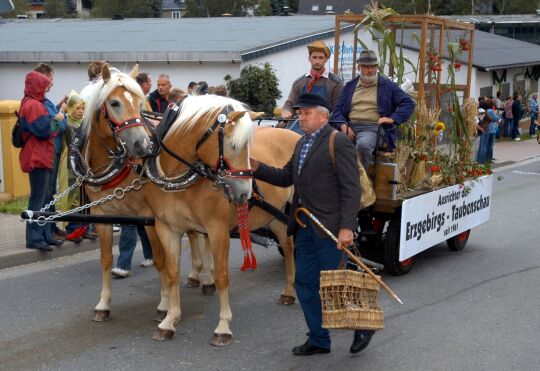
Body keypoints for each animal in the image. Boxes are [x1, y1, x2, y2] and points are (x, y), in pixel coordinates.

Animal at [132, 95, 298, 346]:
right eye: (234, 146)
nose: (245, 193)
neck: (178, 179)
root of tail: (296, 134)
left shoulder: (217, 230)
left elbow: (221, 276)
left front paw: (223, 327)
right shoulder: (166, 228)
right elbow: (172, 273)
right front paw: (170, 320)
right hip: (275, 216)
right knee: (288, 246)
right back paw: (288, 292)